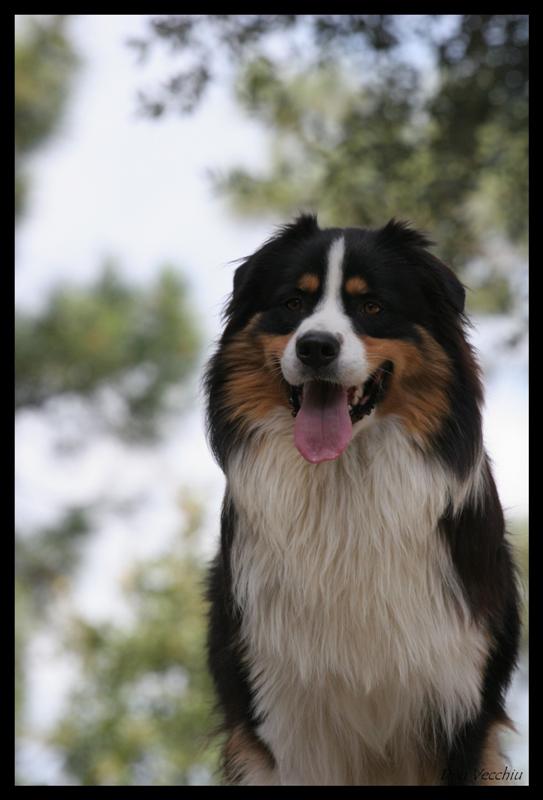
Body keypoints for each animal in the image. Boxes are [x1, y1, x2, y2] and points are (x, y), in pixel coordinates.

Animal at [204, 214, 520, 785]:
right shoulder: (287, 715)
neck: (343, 485)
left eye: (372, 307)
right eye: (294, 302)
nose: (316, 347)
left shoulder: (459, 703)